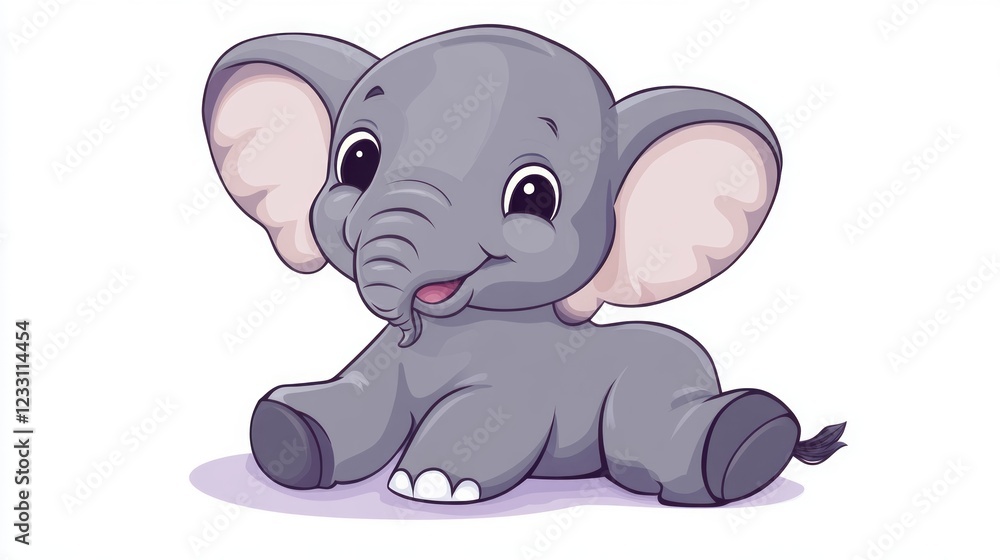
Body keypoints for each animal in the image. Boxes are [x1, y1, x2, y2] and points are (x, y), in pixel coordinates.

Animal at [202, 25, 845, 506]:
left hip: (654, 386)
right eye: (356, 159)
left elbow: (490, 415)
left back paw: (744, 435)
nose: (405, 316)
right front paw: (285, 429)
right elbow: (360, 399)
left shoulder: (525, 380)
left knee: (654, 443)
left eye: (534, 196)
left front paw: (431, 482)